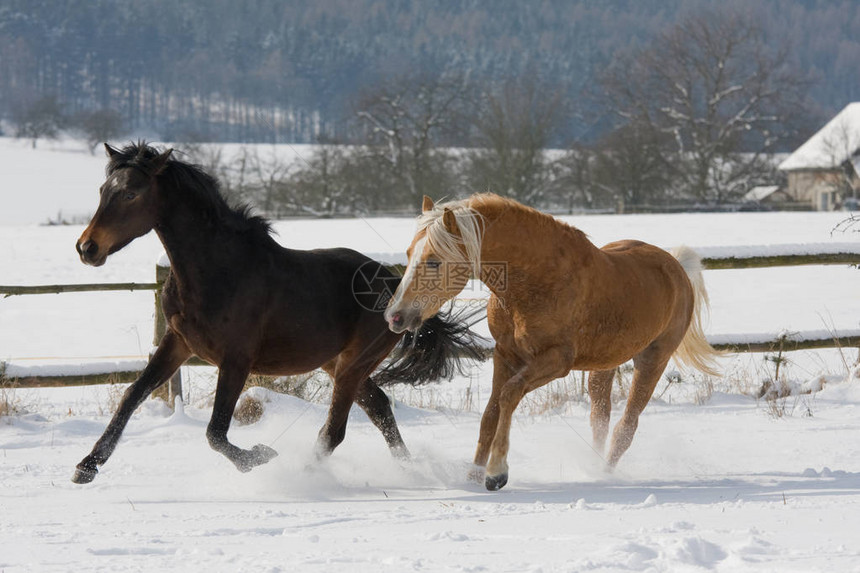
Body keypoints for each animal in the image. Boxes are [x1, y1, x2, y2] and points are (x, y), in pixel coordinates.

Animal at [69, 143, 484, 482]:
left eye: (131, 193)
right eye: (103, 190)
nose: (87, 248)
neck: (216, 270)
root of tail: (394, 284)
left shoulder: (236, 359)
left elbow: (215, 432)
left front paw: (259, 456)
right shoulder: (178, 343)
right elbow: (132, 396)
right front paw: (86, 466)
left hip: (354, 363)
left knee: (336, 429)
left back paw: (305, 474)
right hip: (338, 363)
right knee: (379, 407)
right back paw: (409, 468)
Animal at [382, 194, 720, 490]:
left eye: (434, 262)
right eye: (409, 254)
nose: (395, 316)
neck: (537, 281)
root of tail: (676, 267)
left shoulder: (556, 361)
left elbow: (509, 395)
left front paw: (496, 473)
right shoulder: (505, 355)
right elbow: (490, 412)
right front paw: (473, 476)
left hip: (653, 360)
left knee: (627, 426)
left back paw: (604, 475)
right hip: (604, 365)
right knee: (600, 417)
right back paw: (593, 467)